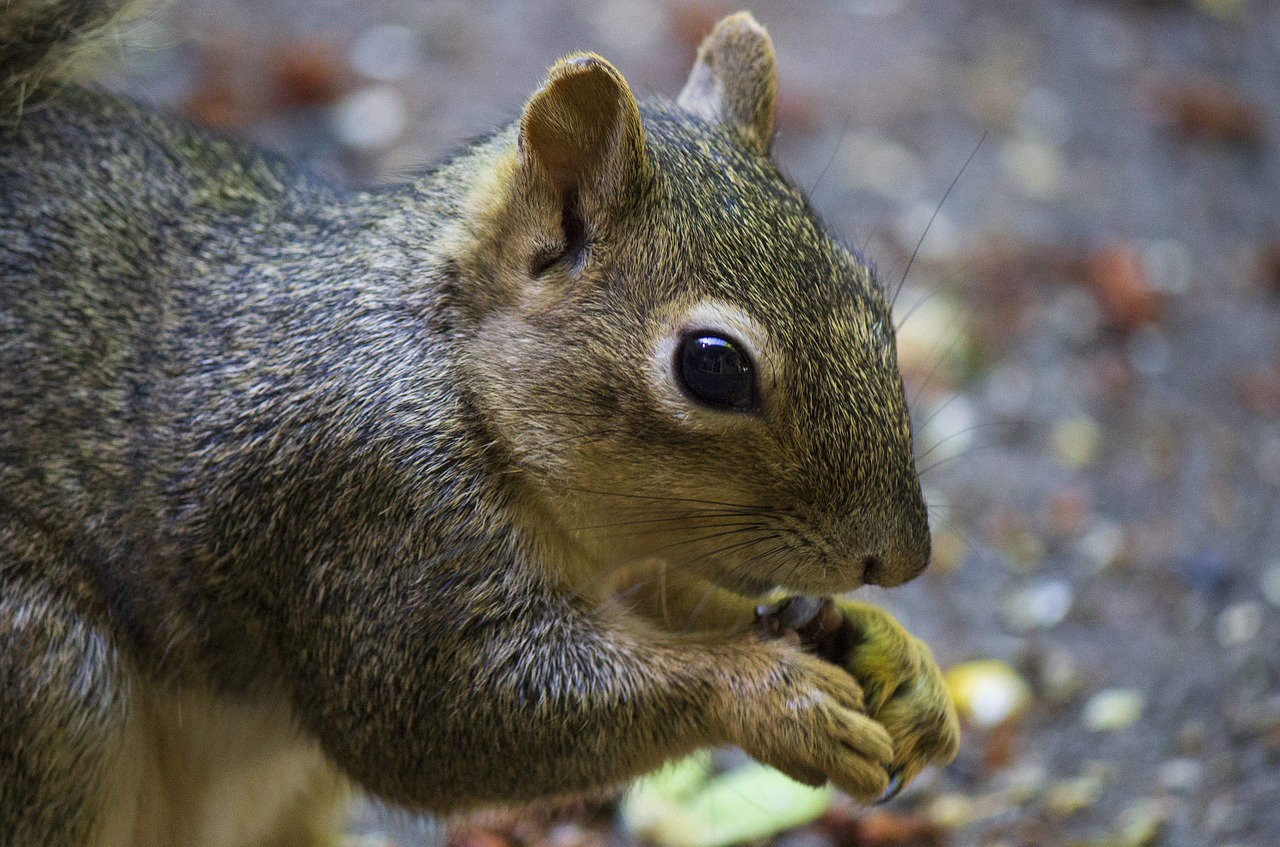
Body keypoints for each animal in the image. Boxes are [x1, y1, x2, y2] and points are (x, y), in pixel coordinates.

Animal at [0, 3, 962, 844]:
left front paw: (896, 657)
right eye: (713, 365)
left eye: (871, 292)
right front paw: (770, 694)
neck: (452, 371)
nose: (901, 559)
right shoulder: (363, 510)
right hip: (49, 686)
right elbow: (438, 719)